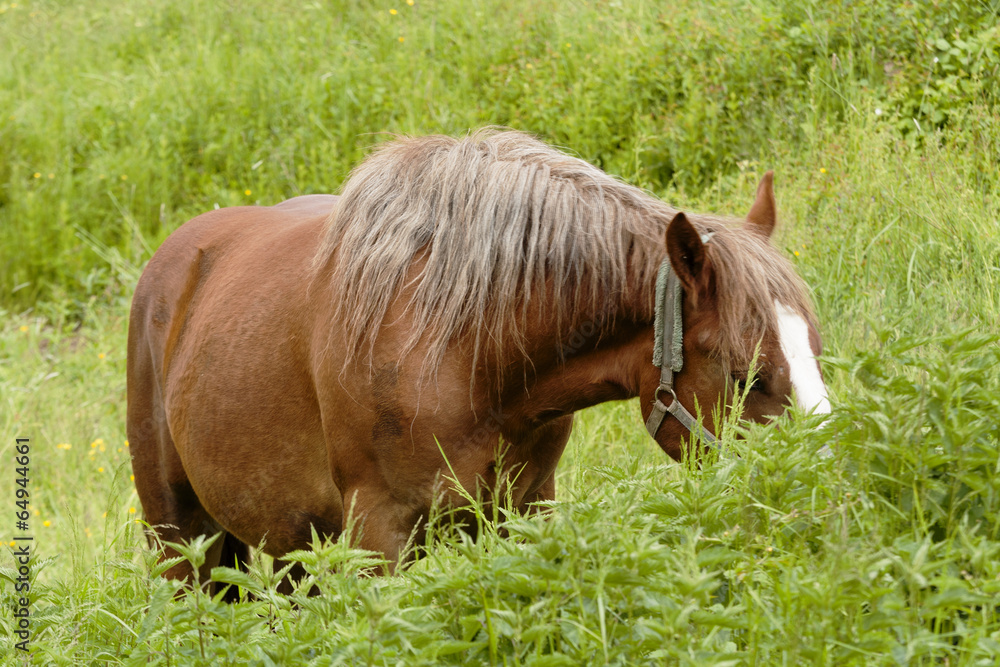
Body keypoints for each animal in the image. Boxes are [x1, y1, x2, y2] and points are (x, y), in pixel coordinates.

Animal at [126, 129, 830, 594]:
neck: (463, 350)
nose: (820, 493)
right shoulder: (378, 534)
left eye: (815, 351)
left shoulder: (524, 508)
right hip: (182, 542)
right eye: (747, 374)